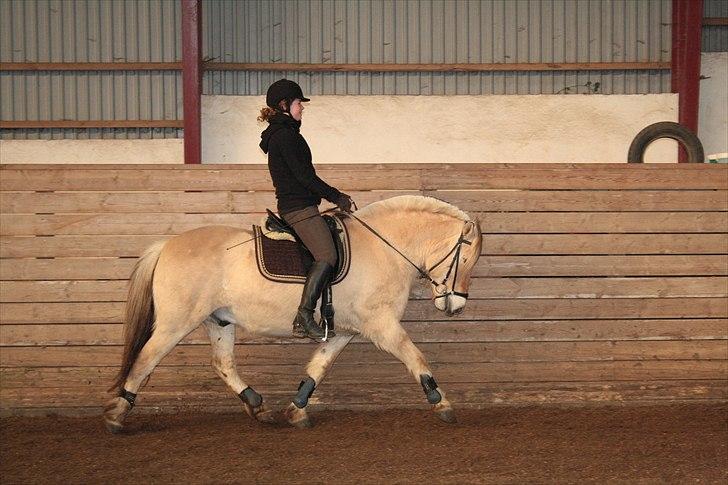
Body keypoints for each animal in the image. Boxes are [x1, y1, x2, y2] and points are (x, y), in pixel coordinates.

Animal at [99, 194, 480, 432]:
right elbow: (415, 357)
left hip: (219, 320)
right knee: (146, 357)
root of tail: (166, 245)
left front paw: (297, 409)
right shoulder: (382, 325)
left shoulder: (344, 331)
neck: (384, 247)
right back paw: (117, 414)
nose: (456, 305)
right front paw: (441, 403)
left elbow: (318, 367)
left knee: (222, 364)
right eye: (464, 259)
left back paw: (257, 405)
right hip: (176, 322)